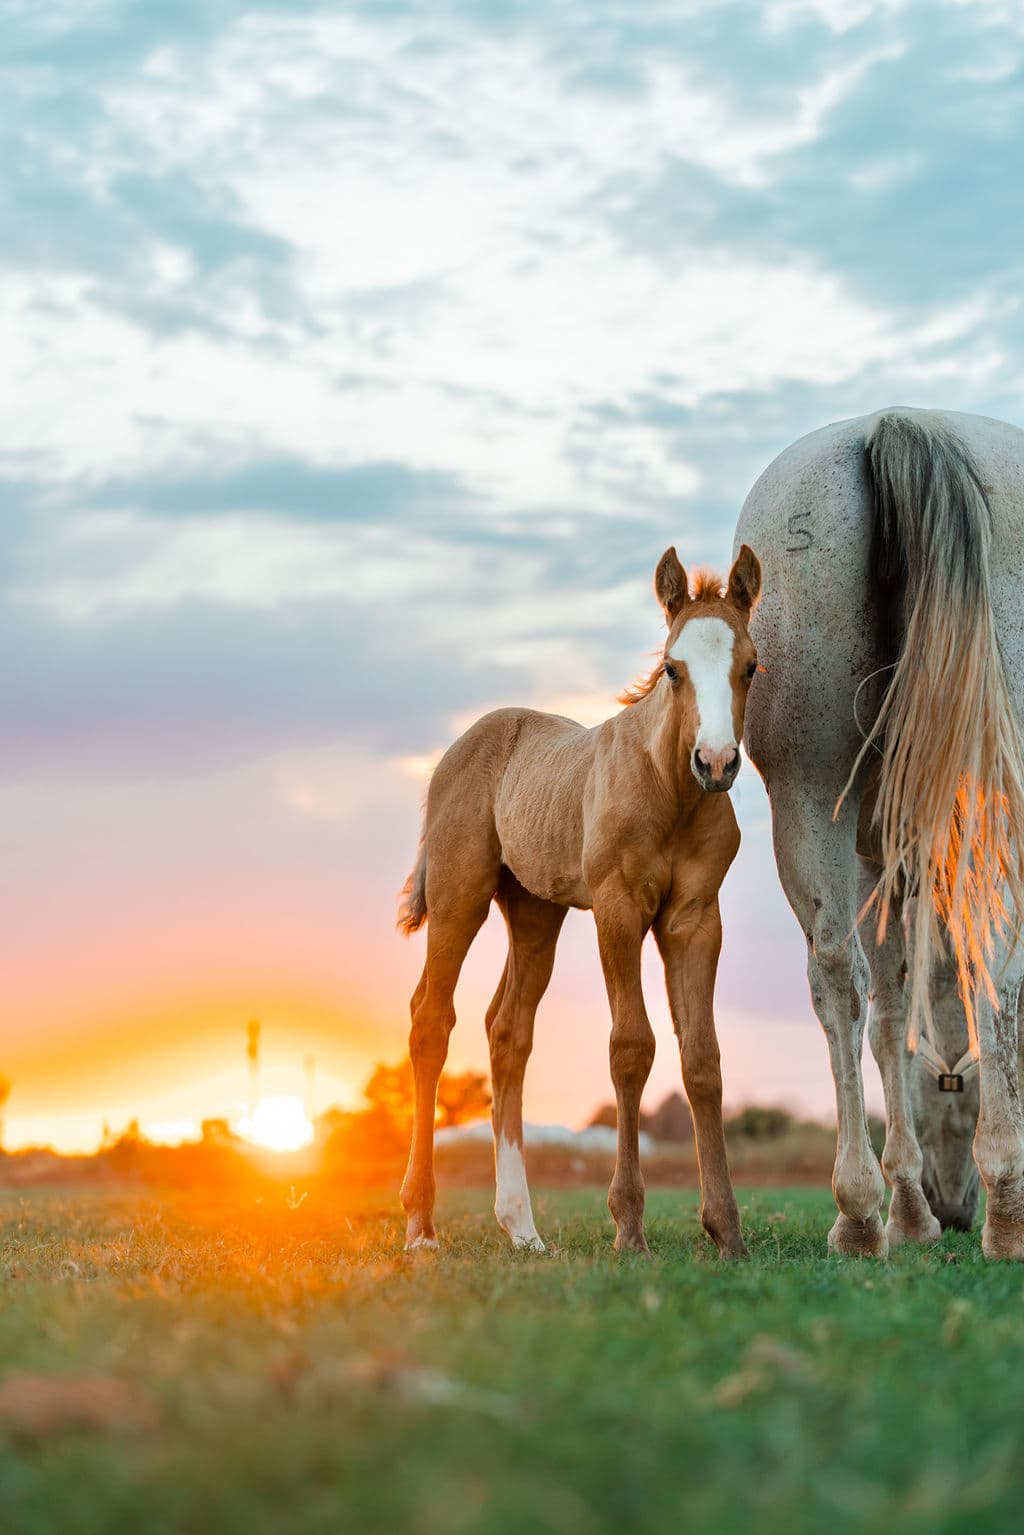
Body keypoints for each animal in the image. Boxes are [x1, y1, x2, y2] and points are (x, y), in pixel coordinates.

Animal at [397, 545, 763, 1259]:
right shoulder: (619, 911)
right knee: (431, 1020)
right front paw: (628, 1226)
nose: (716, 762)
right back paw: (421, 1224)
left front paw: (726, 1231)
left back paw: (522, 1227)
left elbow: (702, 1056)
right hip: (459, 900)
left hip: (536, 913)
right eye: (673, 669)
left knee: (508, 1030)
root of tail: (460, 747)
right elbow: (632, 1047)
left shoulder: (695, 920)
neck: (669, 790)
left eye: (751, 666)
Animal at [735, 408, 1024, 1259]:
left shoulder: (881, 858)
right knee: (995, 967)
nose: (952, 1207)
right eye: (951, 1083)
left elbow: (891, 1008)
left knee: (836, 979)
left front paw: (906, 1209)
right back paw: (1002, 1214)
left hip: (807, 797)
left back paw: (864, 1214)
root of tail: (896, 426)